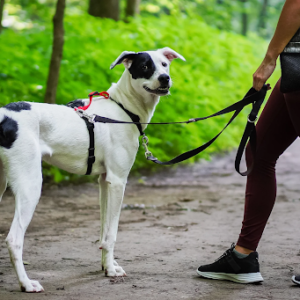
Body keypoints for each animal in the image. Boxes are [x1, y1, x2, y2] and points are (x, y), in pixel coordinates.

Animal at [0, 48, 185, 292]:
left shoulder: (104, 182)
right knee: (14, 239)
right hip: (30, 185)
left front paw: (108, 265)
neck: (123, 110)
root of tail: (4, 117)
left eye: (164, 64)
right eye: (145, 66)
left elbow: (104, 232)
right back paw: (26, 283)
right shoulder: (118, 181)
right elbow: (112, 233)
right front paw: (111, 271)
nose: (165, 78)